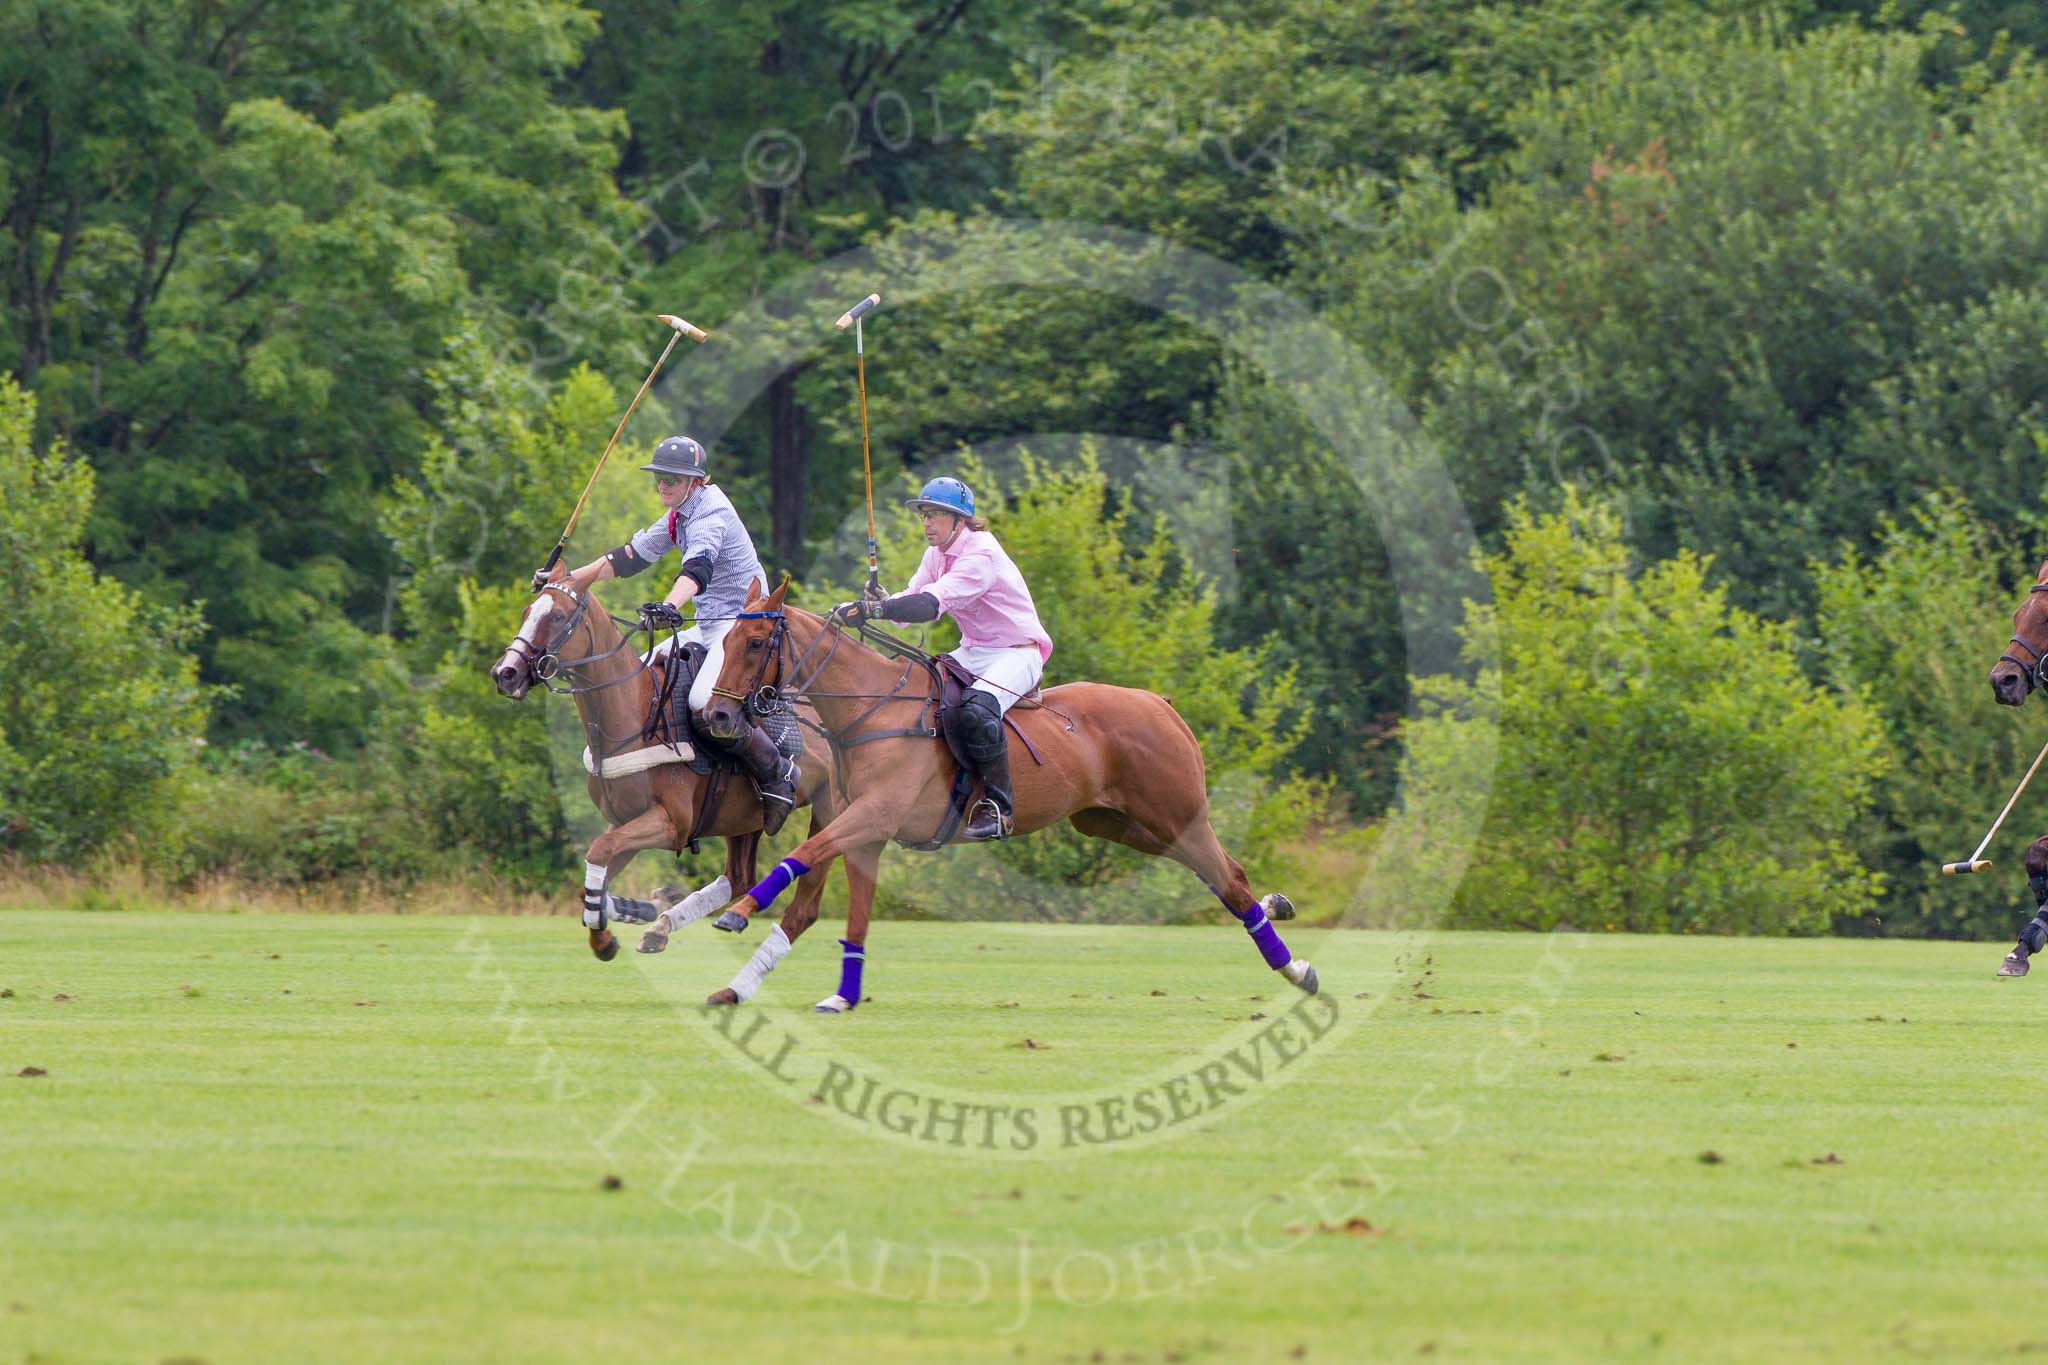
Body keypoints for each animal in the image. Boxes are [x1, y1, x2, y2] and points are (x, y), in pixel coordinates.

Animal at [491, 568, 835, 982]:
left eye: (557, 616)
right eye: (527, 611)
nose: (505, 673)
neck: (633, 716)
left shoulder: (672, 823)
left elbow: (598, 851)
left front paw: (614, 929)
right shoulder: (625, 820)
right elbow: (593, 875)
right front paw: (628, 917)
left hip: (832, 807)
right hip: (745, 819)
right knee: (739, 877)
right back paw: (663, 925)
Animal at [696, 581, 1318, 1010]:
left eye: (756, 642)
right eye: (723, 639)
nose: (719, 716)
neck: (869, 712)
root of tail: (1160, 704)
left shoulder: (874, 815)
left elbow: (801, 862)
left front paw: (740, 913)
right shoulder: (865, 830)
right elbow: (839, 914)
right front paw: (824, 994)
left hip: (1176, 813)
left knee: (1228, 876)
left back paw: (1297, 970)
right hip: (1116, 822)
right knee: (1222, 874)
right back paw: (1277, 909)